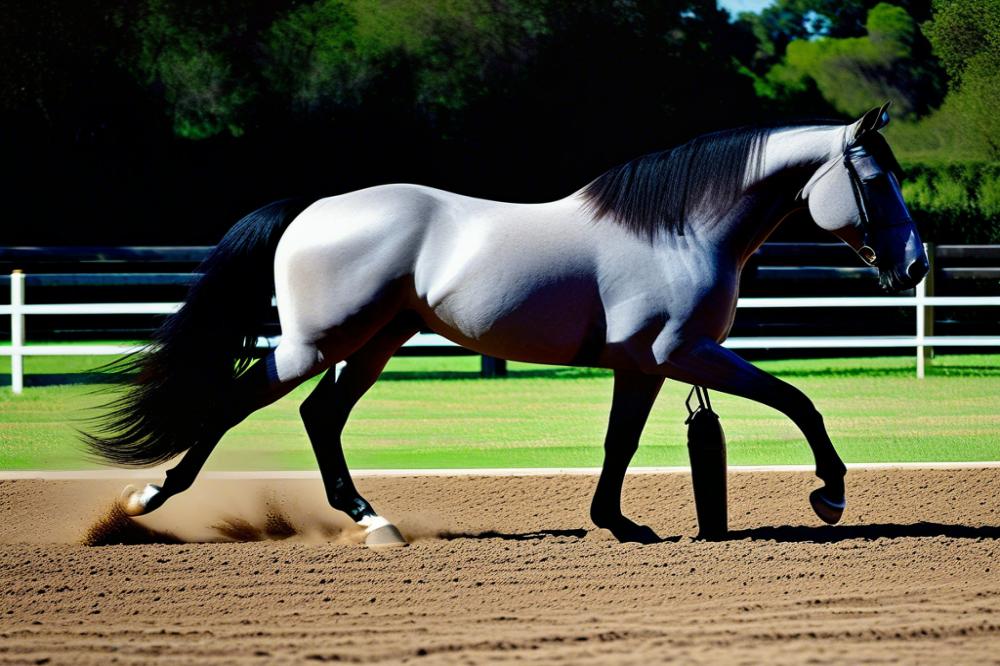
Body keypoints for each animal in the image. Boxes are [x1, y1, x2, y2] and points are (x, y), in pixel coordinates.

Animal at [86, 104, 928, 544]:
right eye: (875, 178)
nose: (915, 266)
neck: (681, 229)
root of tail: (313, 208)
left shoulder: (644, 365)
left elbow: (619, 444)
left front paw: (616, 523)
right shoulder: (686, 353)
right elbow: (798, 400)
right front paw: (829, 496)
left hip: (377, 340)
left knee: (321, 415)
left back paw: (372, 521)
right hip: (315, 343)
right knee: (237, 402)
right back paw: (144, 501)